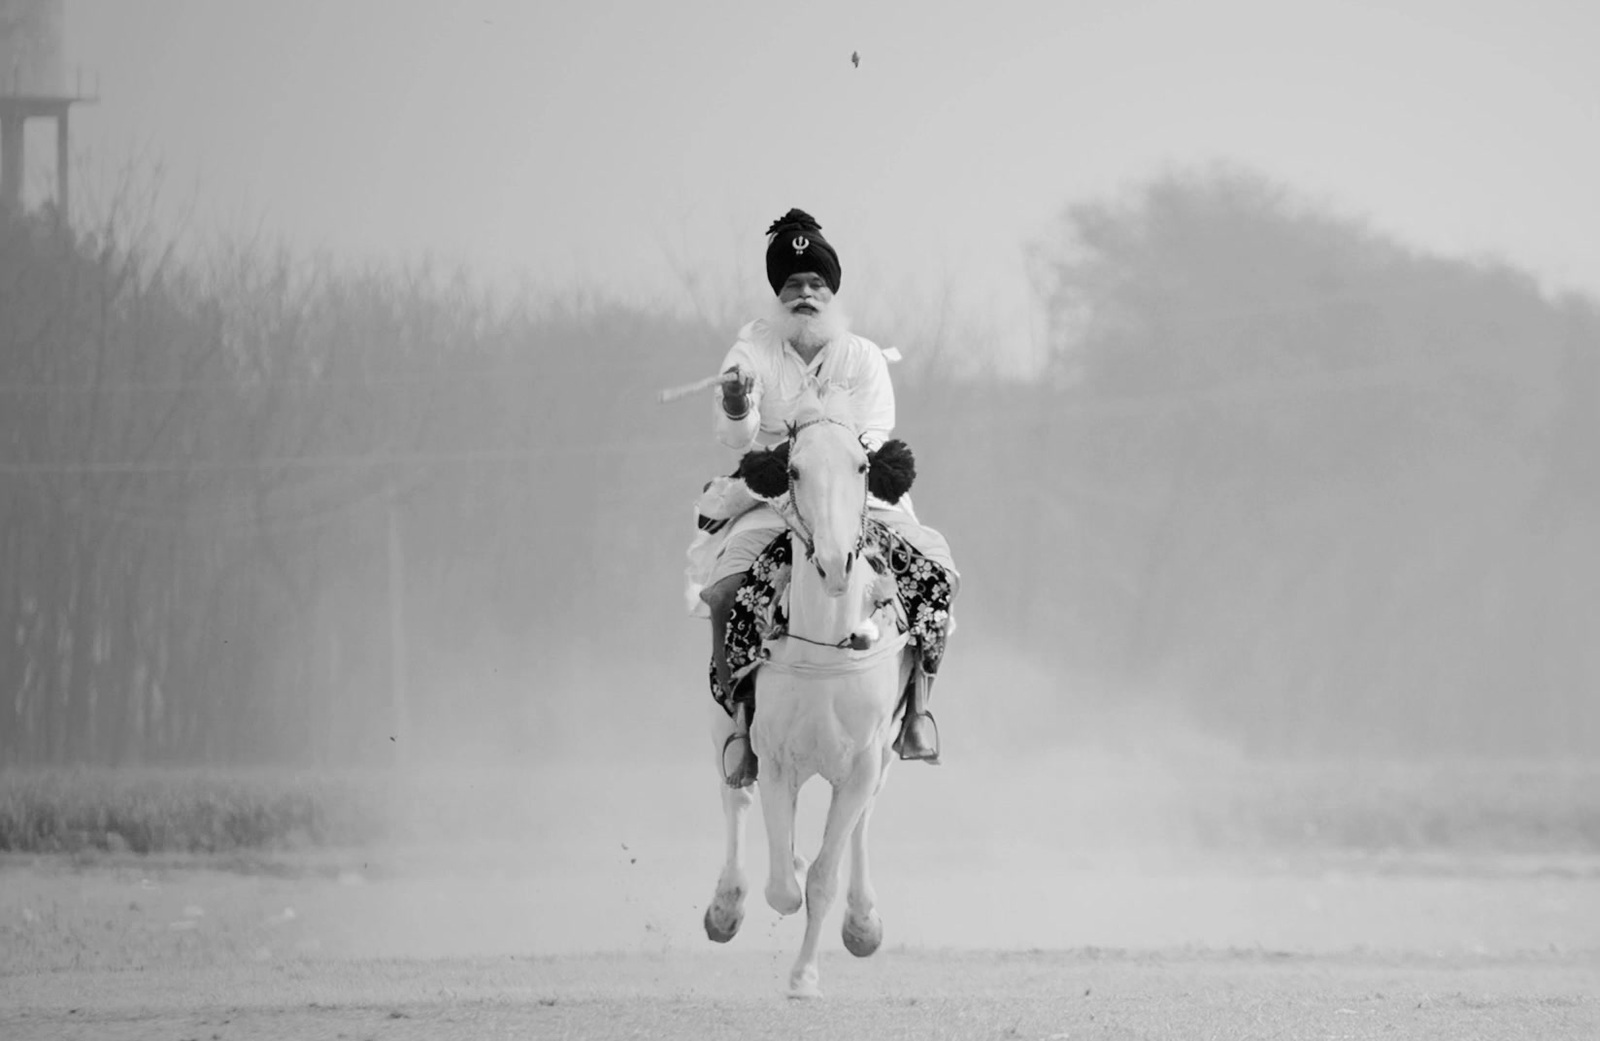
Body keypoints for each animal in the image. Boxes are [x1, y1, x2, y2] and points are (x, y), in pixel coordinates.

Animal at [700, 385, 915, 1004]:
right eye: (793, 468)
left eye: (863, 466)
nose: (836, 561)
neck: (825, 646)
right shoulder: (776, 757)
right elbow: (783, 886)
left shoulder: (863, 758)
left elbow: (823, 874)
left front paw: (805, 977)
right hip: (723, 725)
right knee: (734, 794)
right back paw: (724, 909)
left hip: (882, 753)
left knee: (863, 818)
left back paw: (863, 922)